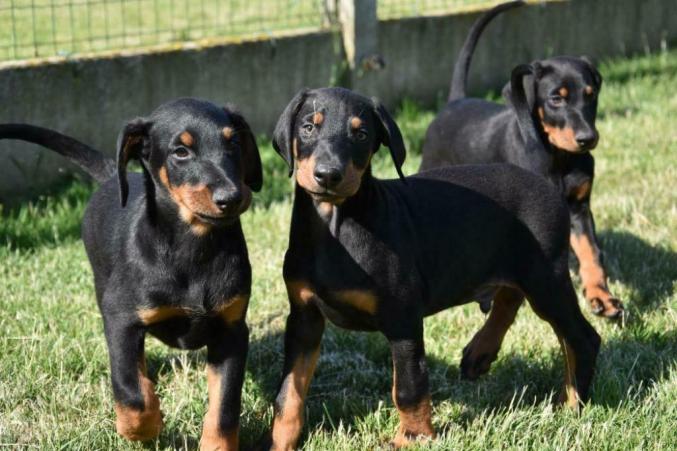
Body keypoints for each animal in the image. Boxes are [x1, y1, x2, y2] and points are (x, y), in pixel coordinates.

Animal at [0, 97, 262, 450]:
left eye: (234, 143)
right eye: (181, 152)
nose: (231, 197)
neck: (193, 246)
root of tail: (113, 176)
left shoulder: (231, 329)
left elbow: (224, 406)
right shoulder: (120, 319)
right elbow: (131, 390)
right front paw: (145, 427)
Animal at [262, 86, 600, 450]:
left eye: (361, 134)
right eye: (308, 127)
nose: (328, 175)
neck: (335, 224)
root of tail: (544, 181)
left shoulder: (403, 317)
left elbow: (409, 385)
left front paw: (413, 437)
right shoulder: (303, 317)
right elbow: (289, 391)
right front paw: (279, 442)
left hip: (545, 275)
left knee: (580, 337)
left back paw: (571, 406)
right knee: (512, 299)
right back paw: (481, 353)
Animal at [420, 2, 624, 322]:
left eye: (591, 95)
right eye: (556, 98)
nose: (588, 139)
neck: (557, 156)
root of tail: (455, 101)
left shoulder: (578, 207)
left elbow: (591, 253)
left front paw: (601, 298)